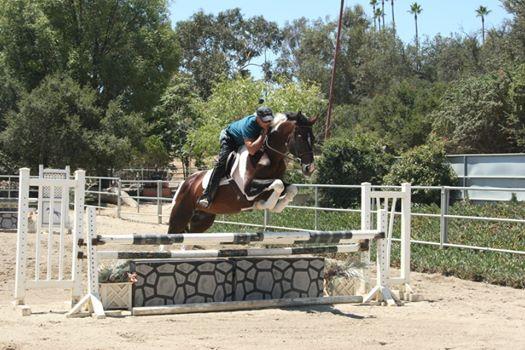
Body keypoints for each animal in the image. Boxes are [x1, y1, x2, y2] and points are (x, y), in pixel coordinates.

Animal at [168, 110, 316, 234]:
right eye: (300, 136)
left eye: (313, 138)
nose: (310, 168)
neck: (269, 155)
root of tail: (187, 182)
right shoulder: (247, 189)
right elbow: (278, 184)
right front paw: (262, 204)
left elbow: (291, 188)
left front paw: (275, 206)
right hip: (180, 215)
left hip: (203, 219)